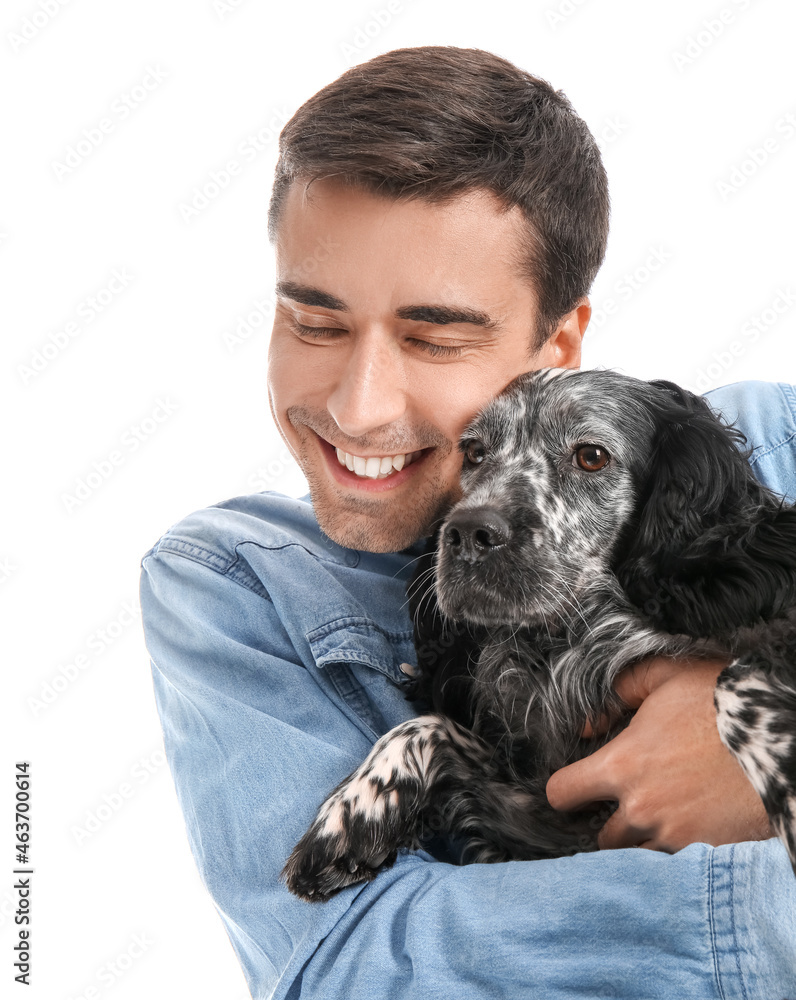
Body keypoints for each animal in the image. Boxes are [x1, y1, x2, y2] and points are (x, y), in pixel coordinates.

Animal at [284, 372, 796, 904]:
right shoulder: (544, 818)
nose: (467, 533)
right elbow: (425, 726)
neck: (570, 648)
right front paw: (350, 815)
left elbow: (735, 680)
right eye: (475, 452)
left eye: (591, 456)